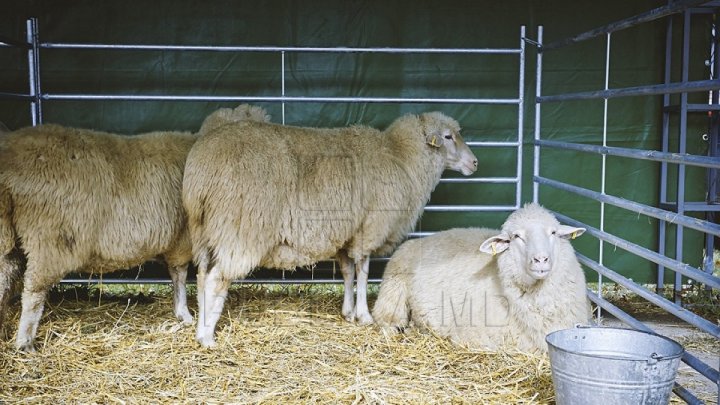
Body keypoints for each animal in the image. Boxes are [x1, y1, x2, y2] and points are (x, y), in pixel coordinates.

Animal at [0, 104, 270, 350]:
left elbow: (177, 275)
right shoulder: (183, 239)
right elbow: (180, 275)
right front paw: (184, 312)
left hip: (11, 237)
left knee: (5, 276)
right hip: (51, 239)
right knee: (34, 290)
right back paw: (25, 342)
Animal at [183, 111, 480, 348]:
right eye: (448, 136)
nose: (475, 163)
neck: (402, 158)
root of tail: (202, 171)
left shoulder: (346, 234)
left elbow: (347, 273)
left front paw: (348, 312)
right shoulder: (368, 228)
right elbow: (363, 272)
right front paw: (364, 315)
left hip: (203, 231)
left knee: (201, 277)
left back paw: (199, 329)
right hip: (241, 229)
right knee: (216, 280)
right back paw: (207, 338)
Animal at [372, 204, 592, 352]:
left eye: (553, 232)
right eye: (516, 237)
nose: (540, 259)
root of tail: (417, 241)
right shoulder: (476, 337)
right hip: (393, 296)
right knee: (387, 321)